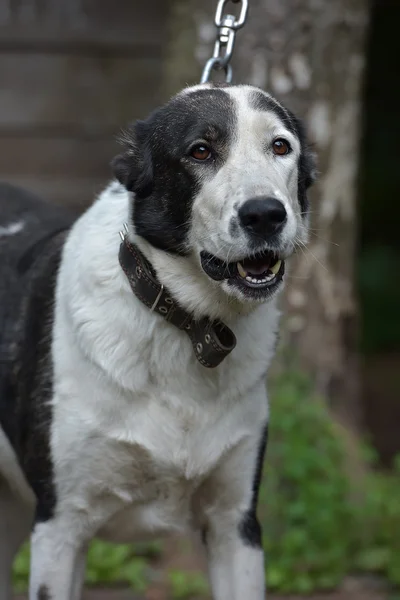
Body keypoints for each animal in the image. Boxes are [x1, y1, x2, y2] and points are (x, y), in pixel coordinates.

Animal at [0, 84, 316, 600]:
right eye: (200, 151)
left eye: (280, 146)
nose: (266, 214)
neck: (188, 325)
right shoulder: (60, 524)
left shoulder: (235, 524)